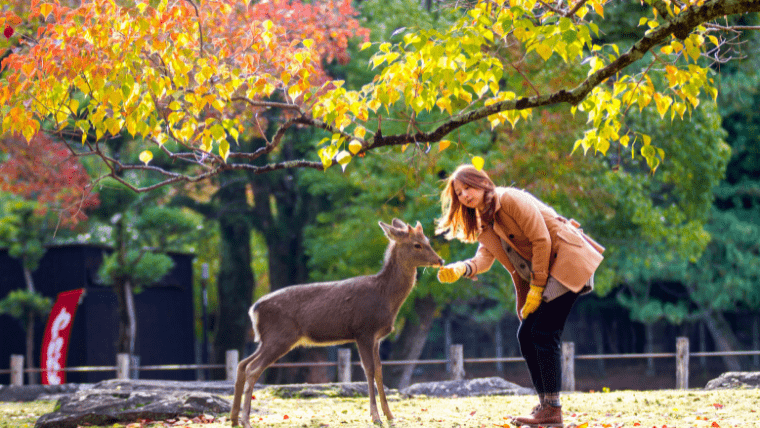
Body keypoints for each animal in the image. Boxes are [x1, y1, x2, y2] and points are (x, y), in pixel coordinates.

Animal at [232, 219, 446, 426]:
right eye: (417, 244)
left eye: (427, 240)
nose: (440, 260)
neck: (385, 297)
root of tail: (254, 309)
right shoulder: (363, 330)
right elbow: (368, 370)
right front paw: (375, 417)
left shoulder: (377, 337)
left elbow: (379, 371)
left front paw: (390, 415)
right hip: (280, 336)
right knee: (252, 369)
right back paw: (245, 420)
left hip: (268, 339)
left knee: (242, 364)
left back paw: (234, 419)